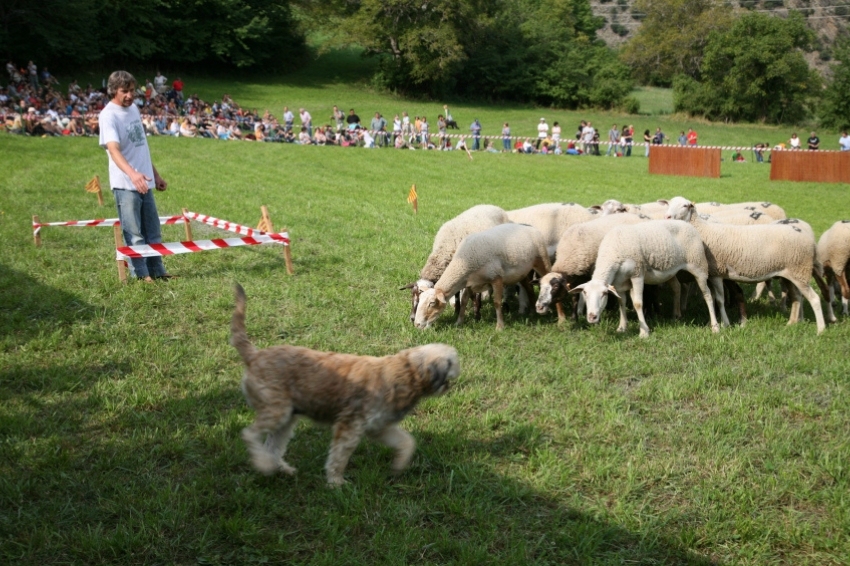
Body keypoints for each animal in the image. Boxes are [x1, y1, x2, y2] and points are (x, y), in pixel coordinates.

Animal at [230, 286, 458, 486]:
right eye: (452, 360)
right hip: (276, 411)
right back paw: (263, 464)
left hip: (286, 419)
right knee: (249, 434)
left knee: (272, 446)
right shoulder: (350, 427)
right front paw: (336, 482)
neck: (406, 372)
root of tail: (254, 355)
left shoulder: (379, 427)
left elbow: (407, 441)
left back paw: (280, 468)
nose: (459, 368)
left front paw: (399, 465)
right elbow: (339, 457)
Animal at [414, 224, 552, 332]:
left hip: (541, 260)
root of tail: (530, 227)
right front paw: (458, 322)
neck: (464, 262)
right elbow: (464, 302)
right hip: (521, 272)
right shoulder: (469, 283)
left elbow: (497, 302)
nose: (417, 324)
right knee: (529, 288)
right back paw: (533, 311)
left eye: (432, 303)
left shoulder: (496, 278)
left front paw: (500, 327)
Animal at [568, 221, 720, 338]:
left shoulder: (637, 274)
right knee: (677, 287)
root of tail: (689, 224)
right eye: (584, 294)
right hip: (671, 271)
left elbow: (637, 304)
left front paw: (644, 332)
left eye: (604, 294)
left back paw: (715, 326)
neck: (612, 253)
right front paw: (622, 327)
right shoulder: (619, 283)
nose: (591, 317)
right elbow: (621, 302)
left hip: (698, 265)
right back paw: (676, 315)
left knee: (707, 295)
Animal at [664, 197, 824, 336]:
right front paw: (717, 322)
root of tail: (812, 243)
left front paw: (725, 324)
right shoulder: (712, 274)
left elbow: (719, 300)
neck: (703, 230)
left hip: (800, 270)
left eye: (685, 206)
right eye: (669, 204)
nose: (667, 216)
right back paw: (792, 323)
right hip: (791, 273)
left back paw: (820, 330)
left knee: (814, 298)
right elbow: (715, 298)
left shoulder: (717, 273)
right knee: (797, 297)